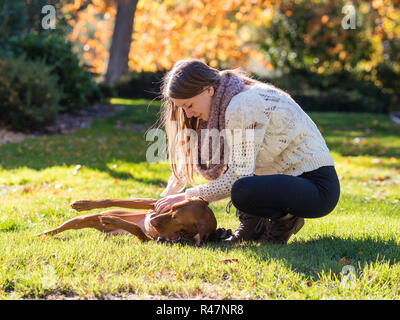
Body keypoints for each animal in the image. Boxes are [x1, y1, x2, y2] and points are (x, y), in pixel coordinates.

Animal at [37, 196, 217, 246]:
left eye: (176, 219)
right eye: (172, 208)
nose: (151, 218)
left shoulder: (149, 240)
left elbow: (137, 230)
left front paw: (111, 220)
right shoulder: (155, 203)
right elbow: (113, 199)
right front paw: (84, 203)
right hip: (81, 219)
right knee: (61, 228)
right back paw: (43, 235)